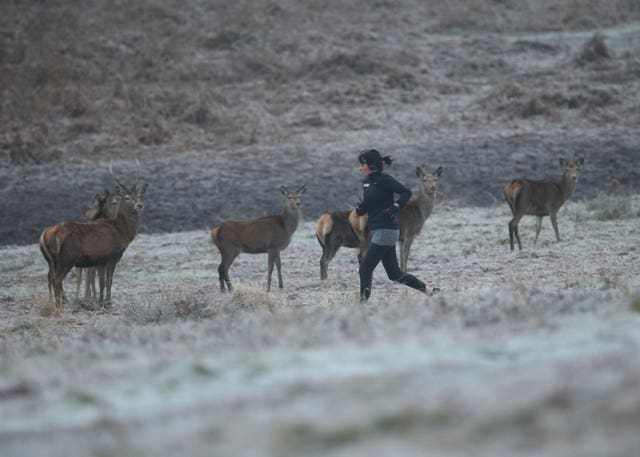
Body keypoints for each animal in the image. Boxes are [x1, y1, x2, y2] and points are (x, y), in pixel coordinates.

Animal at [39, 164, 148, 306]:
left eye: (139, 196)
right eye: (127, 197)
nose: (140, 205)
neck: (122, 232)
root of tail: (46, 234)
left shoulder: (100, 260)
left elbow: (101, 282)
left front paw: (100, 302)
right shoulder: (113, 256)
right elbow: (109, 281)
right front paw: (108, 303)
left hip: (51, 260)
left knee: (51, 277)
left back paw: (56, 304)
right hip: (67, 257)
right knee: (57, 279)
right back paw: (60, 306)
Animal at [316, 165, 444, 278]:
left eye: (436, 179)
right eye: (424, 179)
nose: (433, 188)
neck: (420, 213)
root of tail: (322, 222)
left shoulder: (401, 238)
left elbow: (402, 255)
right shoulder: (410, 233)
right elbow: (405, 255)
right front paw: (405, 272)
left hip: (325, 245)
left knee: (323, 259)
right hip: (339, 241)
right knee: (330, 260)